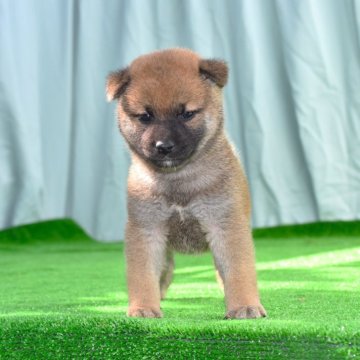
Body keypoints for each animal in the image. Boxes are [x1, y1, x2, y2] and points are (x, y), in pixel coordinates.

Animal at [105, 48, 266, 320]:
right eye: (145, 117)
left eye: (187, 114)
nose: (164, 146)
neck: (178, 182)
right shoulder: (146, 230)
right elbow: (142, 275)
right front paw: (143, 307)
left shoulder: (226, 226)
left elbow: (238, 271)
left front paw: (243, 306)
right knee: (165, 272)